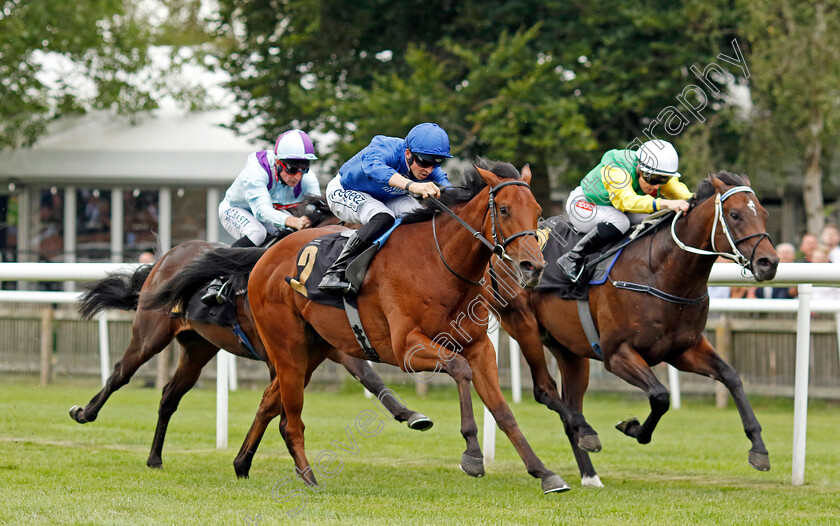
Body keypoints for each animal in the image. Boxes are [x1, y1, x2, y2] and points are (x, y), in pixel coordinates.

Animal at [69, 198, 430, 478]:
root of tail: (165, 258)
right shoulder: (283, 350)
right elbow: (277, 402)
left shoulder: (327, 344)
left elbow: (368, 376)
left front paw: (412, 415)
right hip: (150, 335)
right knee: (121, 373)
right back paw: (84, 413)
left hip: (199, 348)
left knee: (170, 395)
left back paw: (155, 457)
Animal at [149, 161, 584, 496]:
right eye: (505, 210)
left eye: (537, 209)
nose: (532, 266)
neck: (440, 264)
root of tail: (264, 258)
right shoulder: (407, 349)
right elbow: (458, 370)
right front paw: (472, 455)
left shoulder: (480, 347)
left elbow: (503, 411)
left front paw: (545, 473)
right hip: (285, 347)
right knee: (290, 418)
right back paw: (308, 477)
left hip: (309, 350)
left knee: (270, 402)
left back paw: (242, 463)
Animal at [488, 171, 776, 488]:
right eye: (735, 215)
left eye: (764, 214)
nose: (769, 262)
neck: (661, 273)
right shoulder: (617, 355)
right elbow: (660, 396)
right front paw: (632, 427)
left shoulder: (684, 350)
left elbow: (731, 376)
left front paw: (759, 449)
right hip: (523, 324)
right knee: (544, 390)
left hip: (569, 350)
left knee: (570, 409)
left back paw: (590, 470)